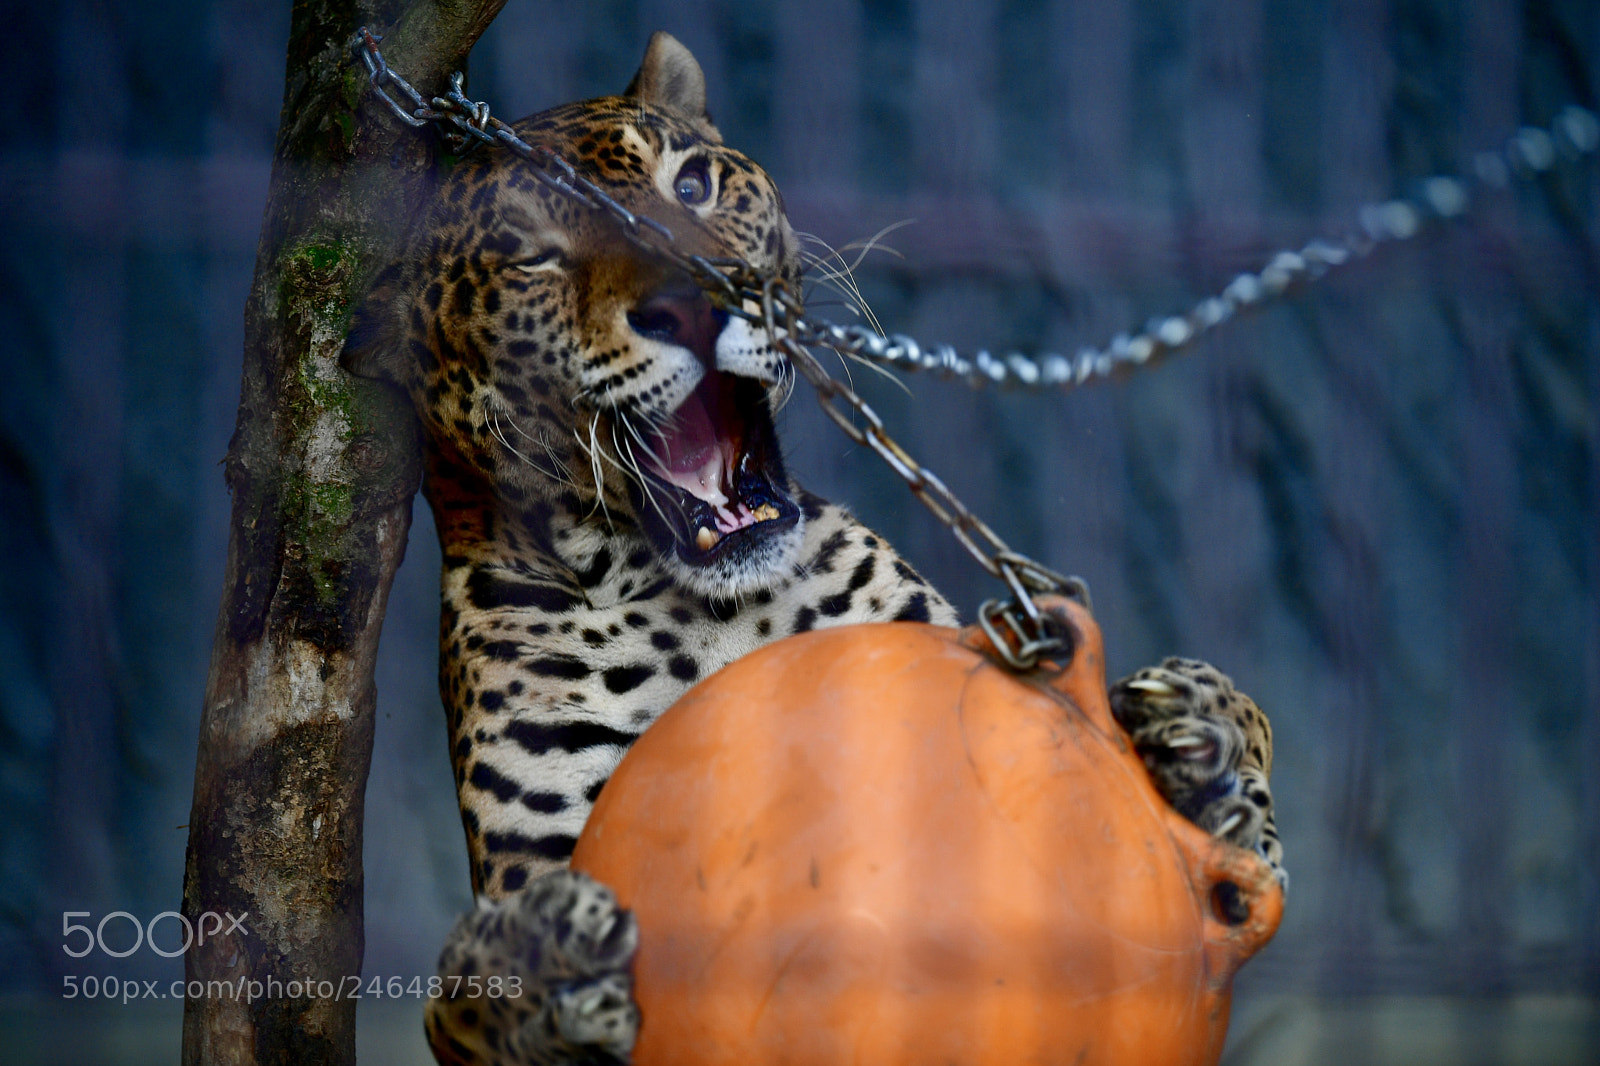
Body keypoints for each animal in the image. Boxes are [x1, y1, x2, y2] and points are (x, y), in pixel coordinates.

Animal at [343, 31, 1285, 1066]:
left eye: (695, 183)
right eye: (532, 257)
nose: (693, 300)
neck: (699, 611)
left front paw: (1201, 743)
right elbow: (471, 990)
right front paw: (550, 956)